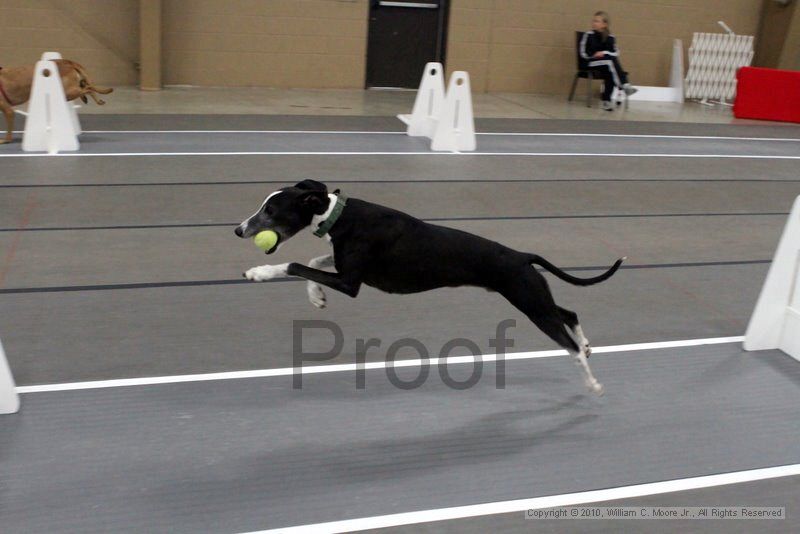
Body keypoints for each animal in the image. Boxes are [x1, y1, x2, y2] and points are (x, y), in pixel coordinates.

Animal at [234, 180, 620, 394]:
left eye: (270, 211)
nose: (238, 229)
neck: (338, 215)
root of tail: (523, 256)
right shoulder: (344, 267)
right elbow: (314, 261)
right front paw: (316, 297)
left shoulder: (351, 281)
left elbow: (295, 264)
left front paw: (259, 272)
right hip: (534, 295)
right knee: (569, 312)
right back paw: (588, 346)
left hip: (530, 302)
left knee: (567, 343)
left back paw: (593, 382)